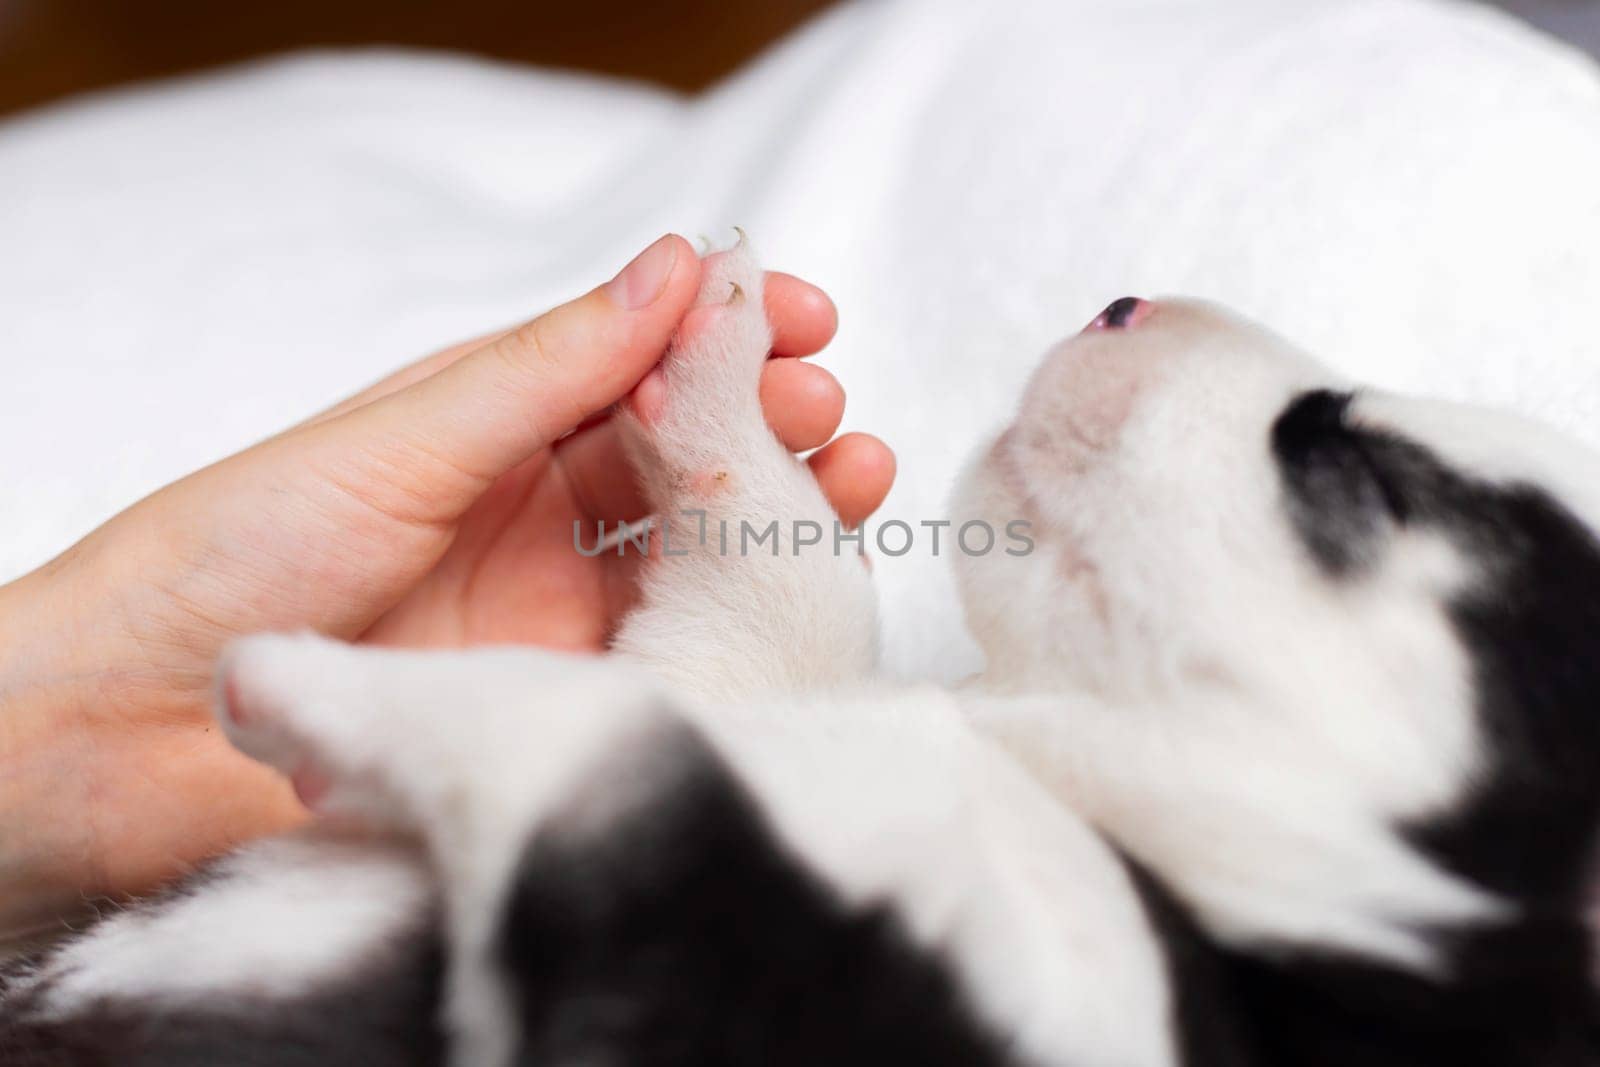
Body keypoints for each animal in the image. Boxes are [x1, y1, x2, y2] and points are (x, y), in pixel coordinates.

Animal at [3, 244, 1600, 1067]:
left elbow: (620, 740)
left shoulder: (724, 975)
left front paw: (310, 682)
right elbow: (767, 616)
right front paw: (712, 367)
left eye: (1365, 467)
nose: (1127, 295)